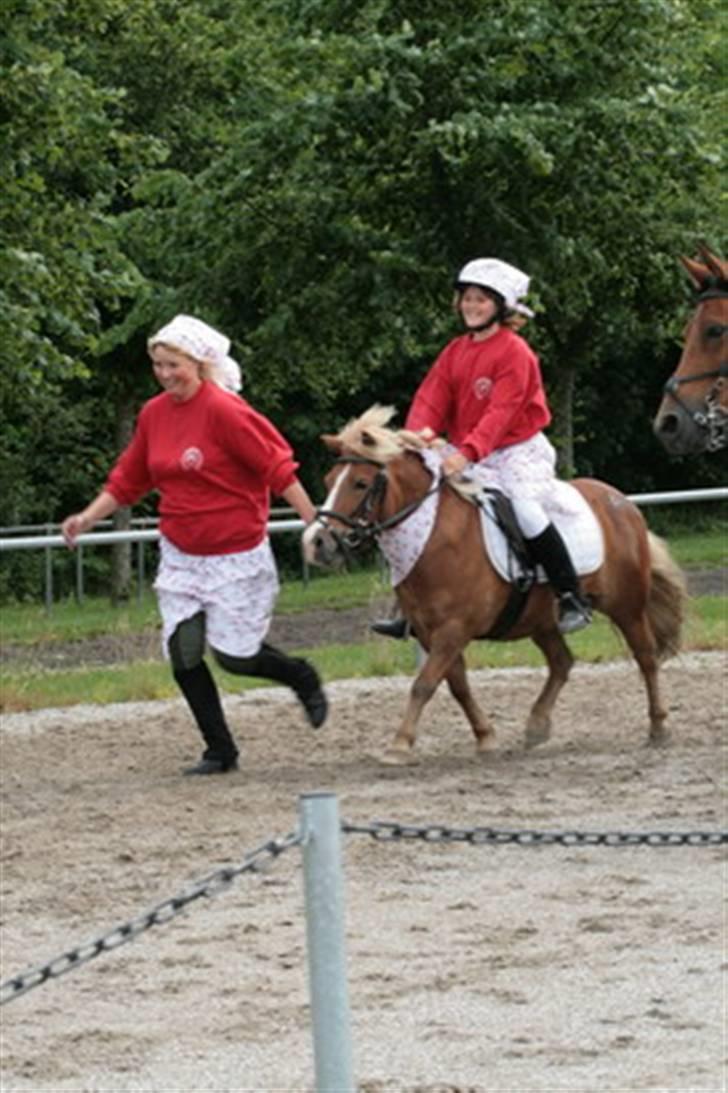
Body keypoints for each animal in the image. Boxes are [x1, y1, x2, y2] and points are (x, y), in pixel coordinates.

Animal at [301, 408, 686, 760]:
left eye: (360, 483)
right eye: (329, 480)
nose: (317, 542)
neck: (435, 538)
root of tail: (622, 502)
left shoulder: (453, 629)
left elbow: (424, 684)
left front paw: (400, 743)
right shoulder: (430, 632)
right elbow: (457, 686)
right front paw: (485, 737)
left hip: (627, 607)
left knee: (646, 658)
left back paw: (659, 726)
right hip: (542, 621)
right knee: (562, 662)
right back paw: (537, 726)